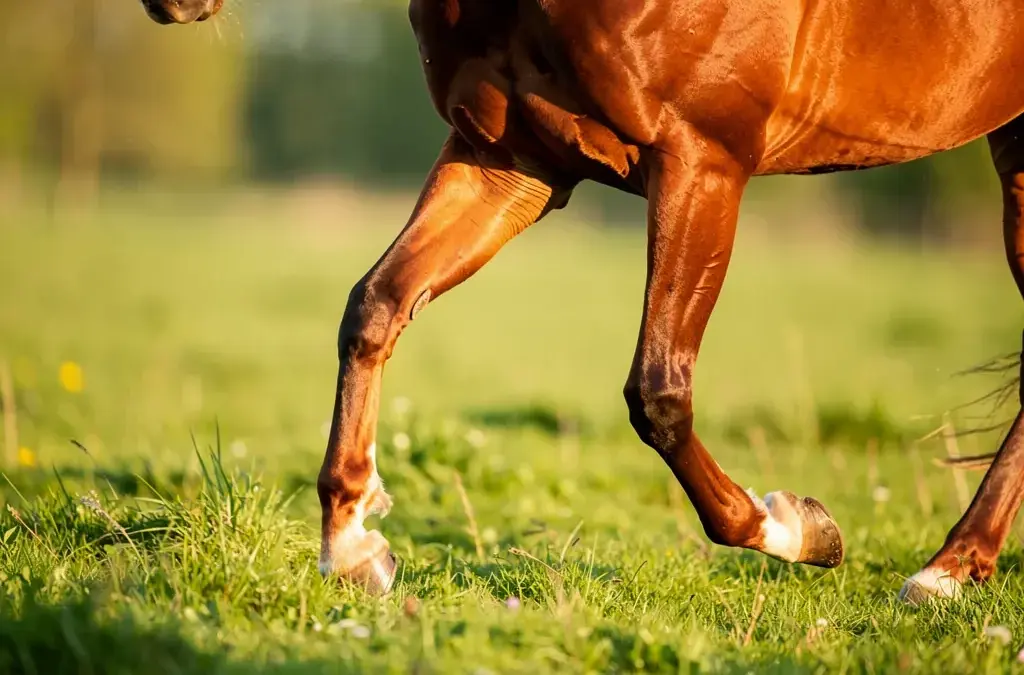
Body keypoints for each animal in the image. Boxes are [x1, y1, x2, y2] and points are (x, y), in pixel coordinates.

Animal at [139, 0, 1024, 604]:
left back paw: (947, 569)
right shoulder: (508, 161)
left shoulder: (702, 162)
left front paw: (796, 527)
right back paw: (954, 567)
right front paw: (352, 544)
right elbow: (375, 307)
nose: (166, 1)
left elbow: (657, 392)